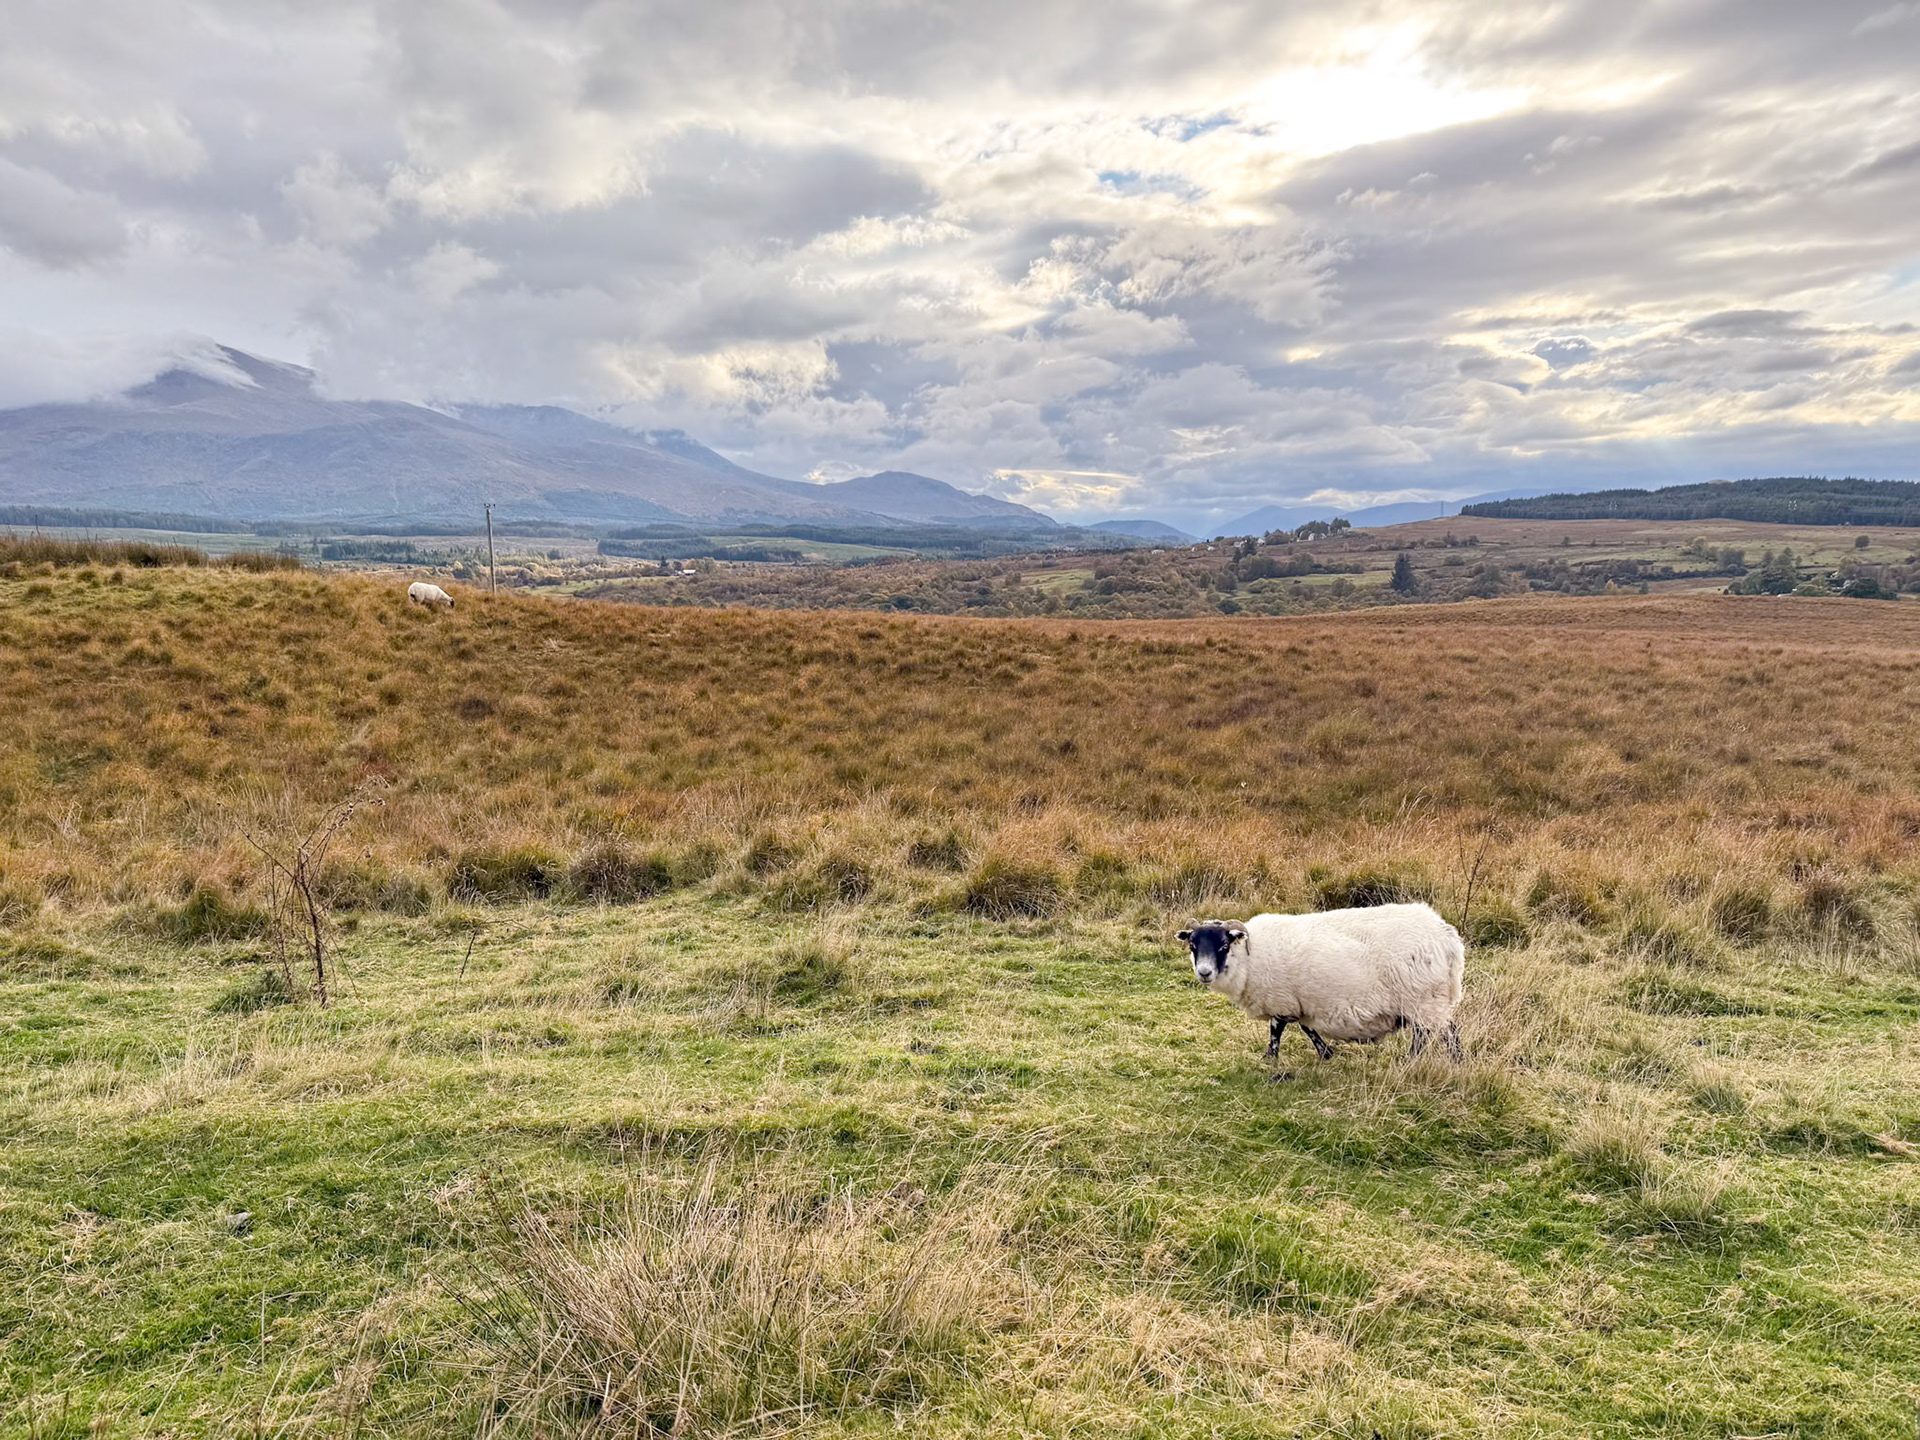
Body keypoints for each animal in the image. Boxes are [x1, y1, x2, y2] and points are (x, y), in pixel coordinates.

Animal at [1179, 903, 1464, 1071]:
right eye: (1193, 945)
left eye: (1223, 946)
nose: (1204, 973)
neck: (1249, 957)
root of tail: (1447, 937)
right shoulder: (1302, 1003)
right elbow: (1308, 1028)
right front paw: (1326, 1053)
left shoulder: (1282, 1000)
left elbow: (1276, 1031)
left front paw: (1270, 1059)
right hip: (1429, 1001)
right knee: (1433, 1033)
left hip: (1424, 998)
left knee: (1441, 1034)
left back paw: (1430, 1062)